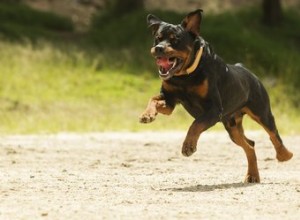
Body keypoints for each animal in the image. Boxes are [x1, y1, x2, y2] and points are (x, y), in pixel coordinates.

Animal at [139, 9, 292, 183]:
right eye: (157, 38)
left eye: (175, 39)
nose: (158, 48)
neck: (185, 76)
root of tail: (247, 71)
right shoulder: (170, 101)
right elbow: (153, 99)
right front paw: (147, 115)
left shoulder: (213, 109)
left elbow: (195, 124)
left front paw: (188, 146)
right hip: (232, 127)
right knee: (250, 145)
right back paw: (252, 175)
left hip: (261, 112)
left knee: (274, 135)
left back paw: (284, 155)